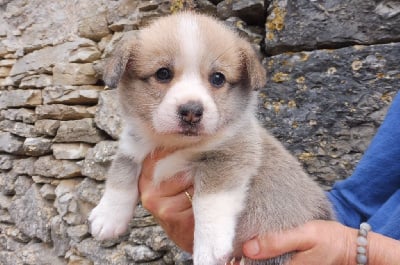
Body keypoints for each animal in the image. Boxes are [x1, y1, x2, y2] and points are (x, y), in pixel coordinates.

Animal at [89, 11, 332, 264]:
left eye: (218, 78)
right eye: (163, 73)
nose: (191, 111)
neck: (176, 144)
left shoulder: (229, 157)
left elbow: (208, 204)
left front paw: (209, 248)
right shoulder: (131, 146)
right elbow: (119, 175)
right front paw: (107, 217)